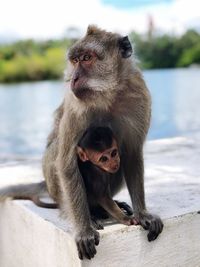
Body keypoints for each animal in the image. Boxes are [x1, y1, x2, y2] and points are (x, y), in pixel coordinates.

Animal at [42, 26, 162, 260]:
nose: (74, 78)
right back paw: (91, 214)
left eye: (87, 58)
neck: (109, 95)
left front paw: (143, 213)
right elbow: (66, 163)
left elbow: (131, 154)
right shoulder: (76, 106)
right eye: (75, 60)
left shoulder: (140, 96)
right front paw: (84, 229)